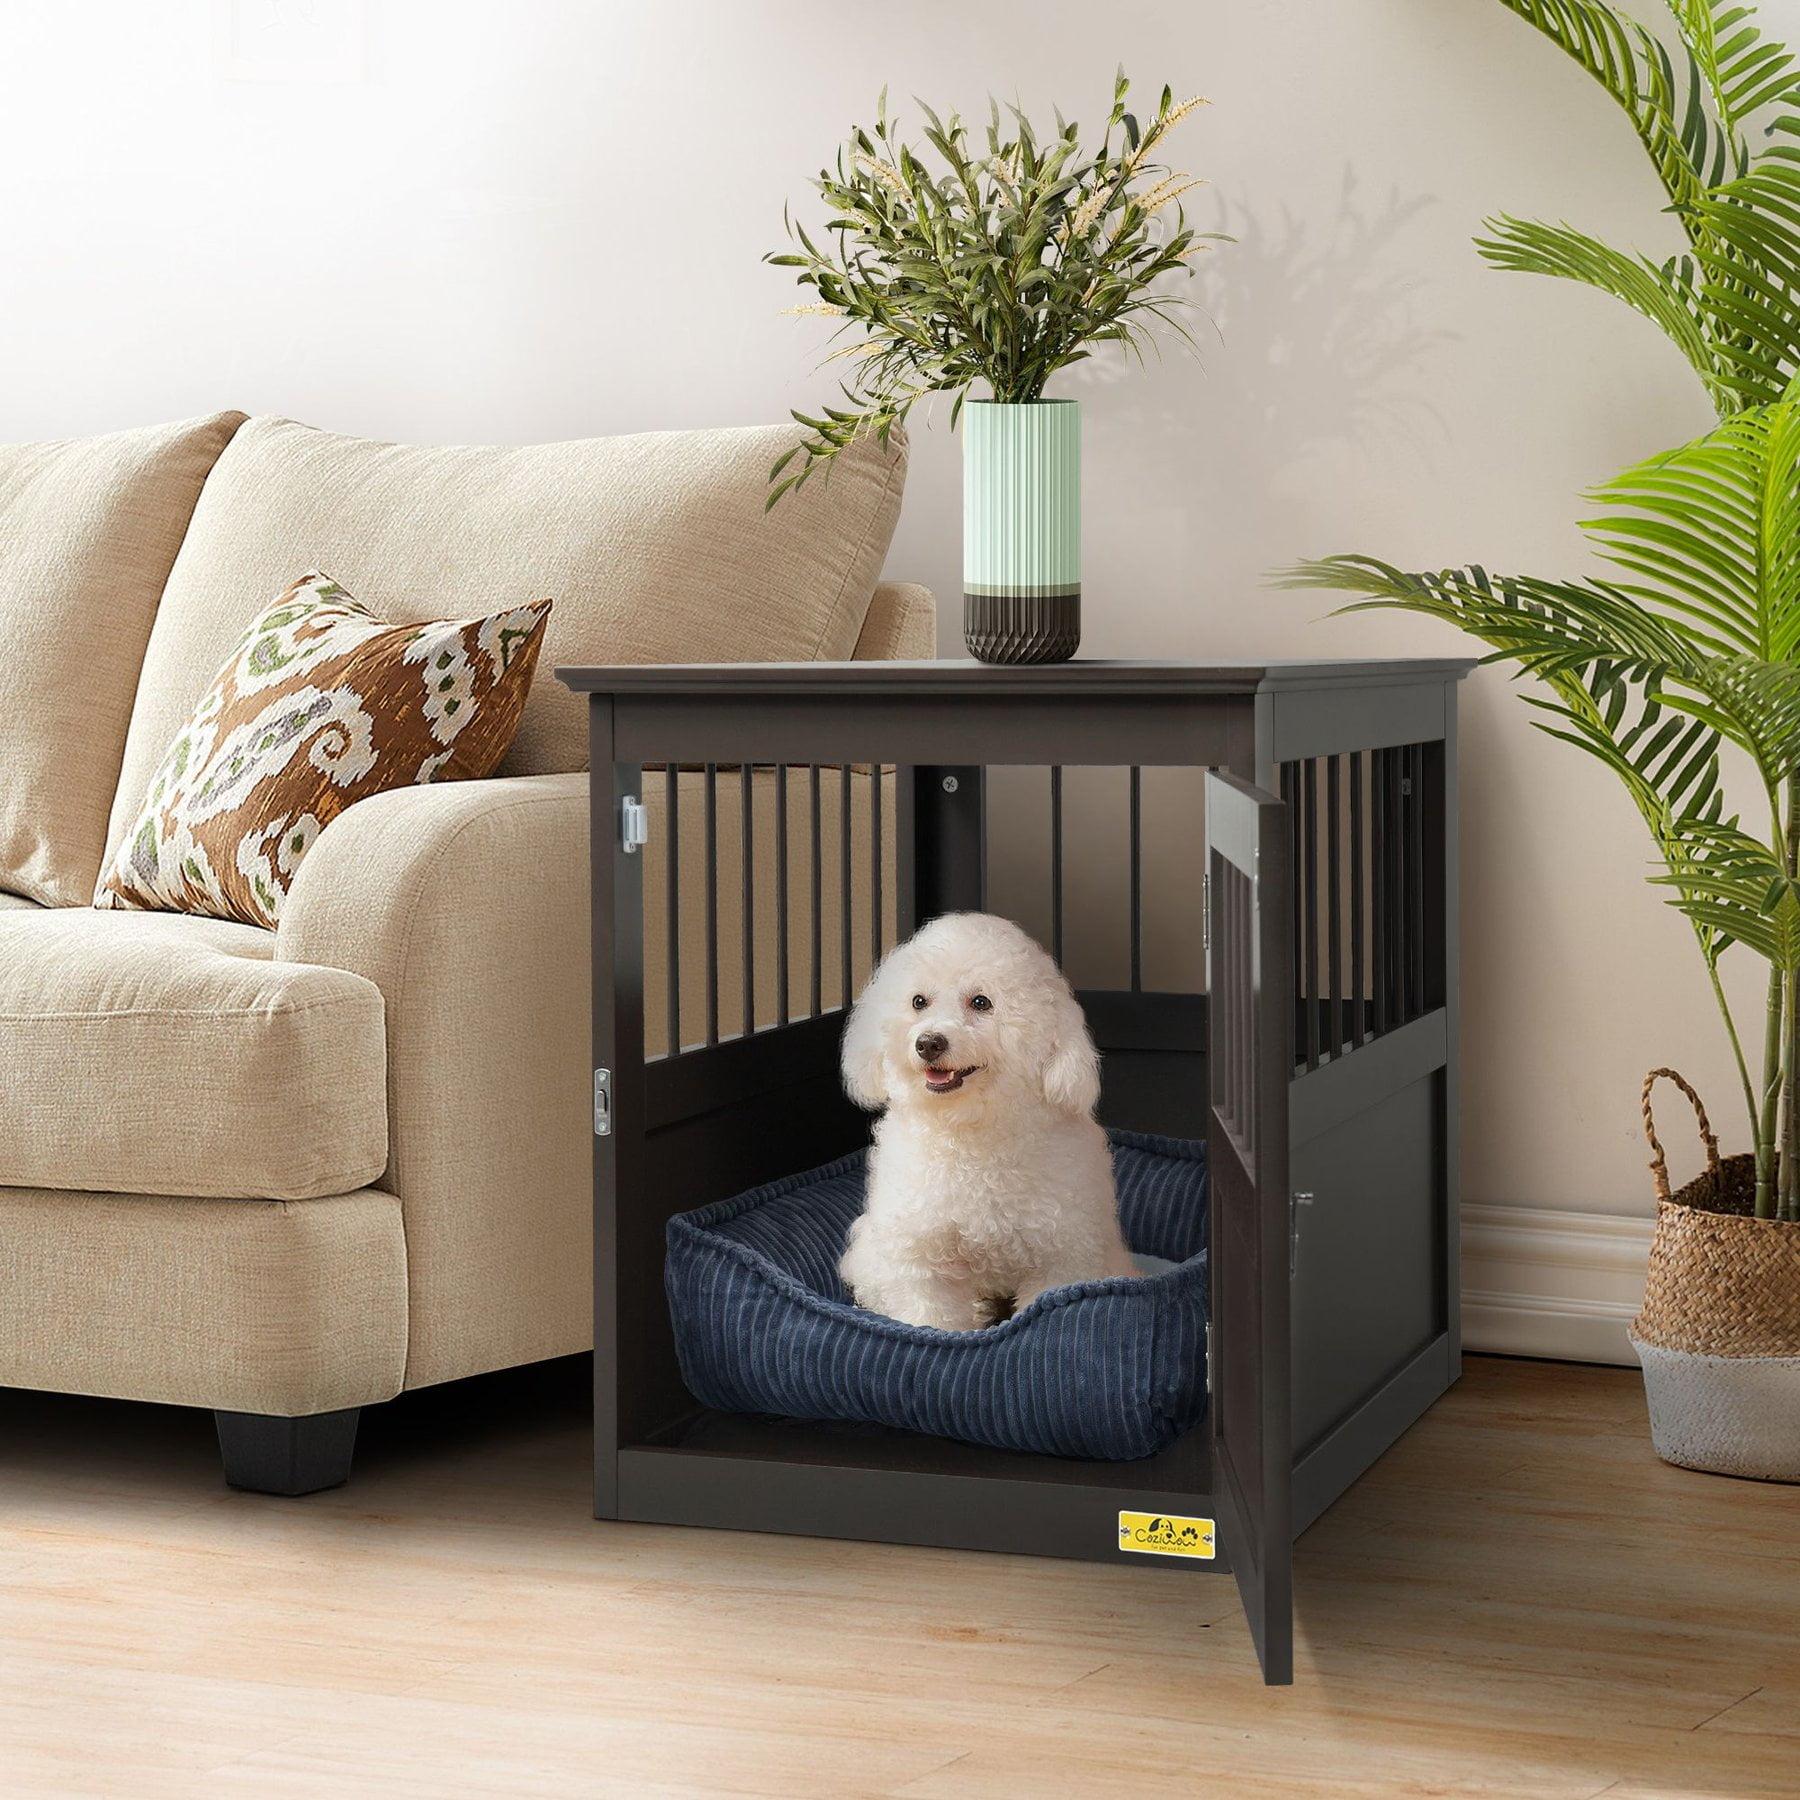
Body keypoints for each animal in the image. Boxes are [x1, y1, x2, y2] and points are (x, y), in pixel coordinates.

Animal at [838, 914, 1123, 1324]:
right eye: (918, 1001)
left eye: (981, 1002)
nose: (928, 1043)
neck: (969, 1134)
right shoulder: (920, 1260)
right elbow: (931, 1317)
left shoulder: (1060, 1256)